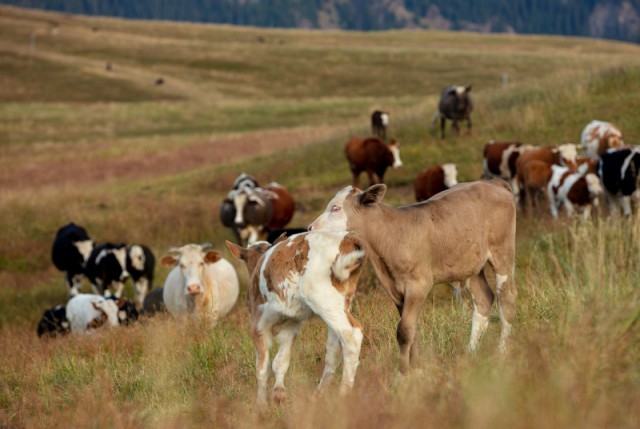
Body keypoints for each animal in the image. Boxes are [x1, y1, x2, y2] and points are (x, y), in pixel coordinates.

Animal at [225, 229, 364, 406]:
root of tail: (350, 237)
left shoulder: (257, 323)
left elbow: (262, 367)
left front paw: (261, 404)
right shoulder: (291, 324)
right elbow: (281, 361)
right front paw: (278, 394)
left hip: (323, 299)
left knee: (352, 335)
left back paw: (344, 395)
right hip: (342, 301)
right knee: (334, 349)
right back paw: (319, 395)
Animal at [308, 181, 516, 374]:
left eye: (335, 208)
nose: (310, 227)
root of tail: (492, 183)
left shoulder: (418, 285)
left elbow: (404, 330)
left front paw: (403, 375)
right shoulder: (396, 290)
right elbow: (411, 329)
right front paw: (416, 369)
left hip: (502, 251)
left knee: (506, 298)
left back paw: (502, 353)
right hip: (471, 264)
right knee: (483, 299)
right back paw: (471, 354)